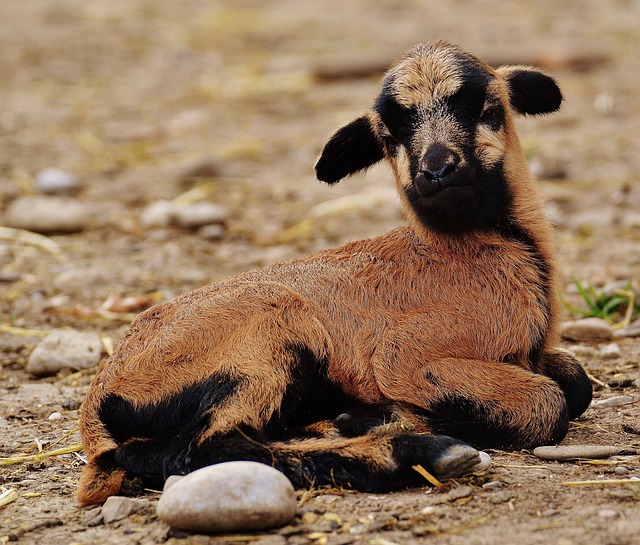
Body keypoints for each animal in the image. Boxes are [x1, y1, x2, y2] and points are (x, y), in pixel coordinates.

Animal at [77, 39, 592, 506]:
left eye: (488, 108)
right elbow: (547, 403)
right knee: (208, 448)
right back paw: (410, 449)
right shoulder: (405, 359)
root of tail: (99, 400)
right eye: (389, 137)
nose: (436, 169)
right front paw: (388, 418)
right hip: (265, 341)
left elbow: (577, 382)